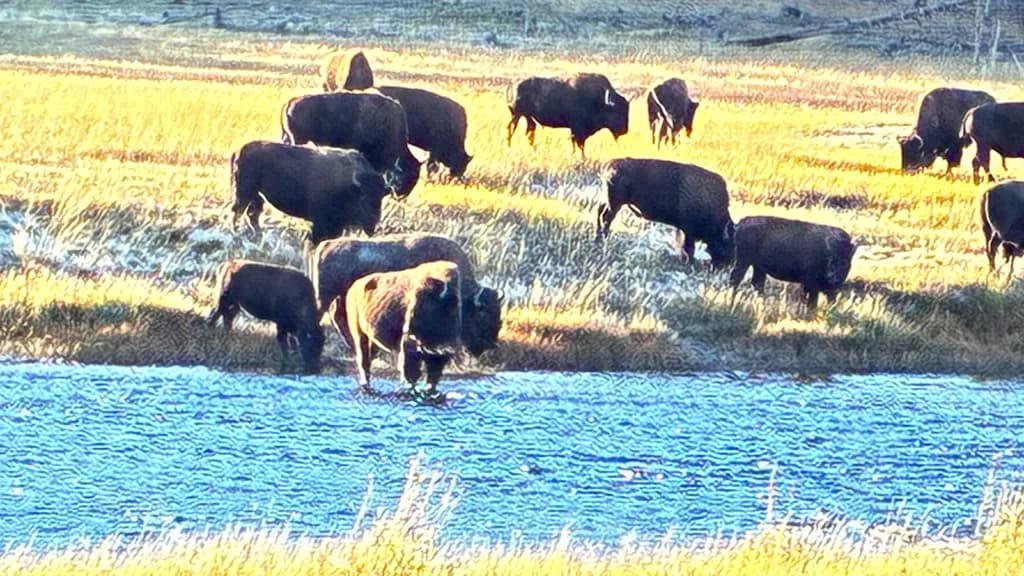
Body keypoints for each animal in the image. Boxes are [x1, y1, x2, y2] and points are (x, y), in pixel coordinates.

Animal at [230, 141, 386, 243]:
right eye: (362, 197)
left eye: (381, 198)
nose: (373, 220)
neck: (350, 187)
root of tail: (239, 151)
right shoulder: (320, 222)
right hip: (244, 192)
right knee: (238, 211)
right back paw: (237, 233)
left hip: (256, 196)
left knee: (252, 214)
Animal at [313, 233, 502, 357]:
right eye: (483, 315)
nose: (487, 347)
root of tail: (325, 245)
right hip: (325, 297)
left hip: (339, 297)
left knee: (338, 318)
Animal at [346, 260, 462, 395]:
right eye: (415, 308)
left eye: (453, 311)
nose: (409, 327)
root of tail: (354, 287)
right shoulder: (409, 345)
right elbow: (410, 370)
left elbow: (432, 374)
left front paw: (428, 390)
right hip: (359, 334)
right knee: (363, 360)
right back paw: (366, 387)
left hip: (373, 341)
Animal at [596, 158, 735, 267]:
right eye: (728, 245)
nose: (728, 264)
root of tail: (609, 164)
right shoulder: (688, 231)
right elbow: (688, 248)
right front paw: (689, 263)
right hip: (615, 204)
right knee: (606, 218)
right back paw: (603, 238)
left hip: (609, 202)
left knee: (601, 213)